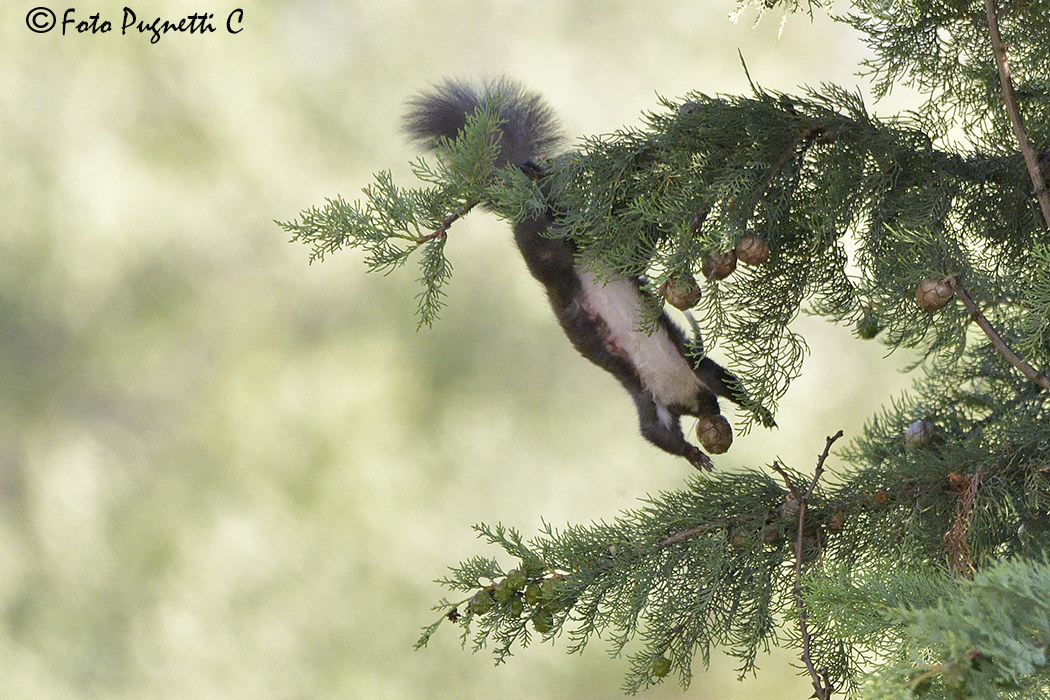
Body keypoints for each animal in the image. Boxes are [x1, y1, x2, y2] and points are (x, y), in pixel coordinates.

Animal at [403, 78, 774, 470]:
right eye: (700, 411)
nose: (712, 413)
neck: (672, 379)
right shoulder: (652, 396)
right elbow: (657, 433)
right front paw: (695, 455)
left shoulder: (692, 368)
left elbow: (724, 382)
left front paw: (757, 410)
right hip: (550, 250)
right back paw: (539, 178)